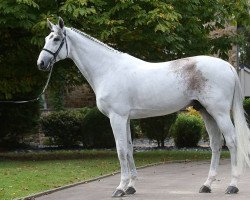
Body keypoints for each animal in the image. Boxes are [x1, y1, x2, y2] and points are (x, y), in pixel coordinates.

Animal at [37, 17, 250, 197]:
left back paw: (232, 185)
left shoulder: (117, 117)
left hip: (220, 113)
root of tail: (228, 66)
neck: (108, 69)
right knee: (216, 144)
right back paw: (206, 185)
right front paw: (131, 187)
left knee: (232, 142)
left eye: (56, 39)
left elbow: (120, 150)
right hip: (206, 112)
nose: (41, 63)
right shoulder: (126, 119)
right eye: (47, 38)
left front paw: (120, 188)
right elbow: (129, 148)